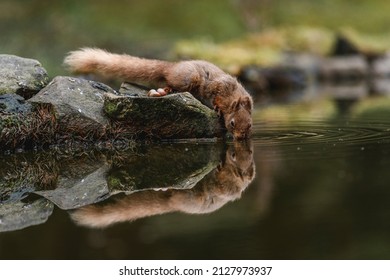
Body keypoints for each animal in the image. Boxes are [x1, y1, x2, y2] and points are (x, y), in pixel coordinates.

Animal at [64, 49, 253, 140]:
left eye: (250, 125)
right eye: (232, 123)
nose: (240, 139)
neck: (235, 95)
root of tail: (171, 67)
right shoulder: (218, 86)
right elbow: (215, 97)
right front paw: (217, 107)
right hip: (189, 78)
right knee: (170, 82)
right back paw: (163, 91)